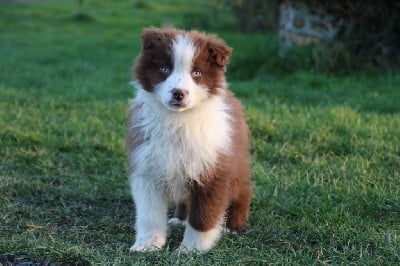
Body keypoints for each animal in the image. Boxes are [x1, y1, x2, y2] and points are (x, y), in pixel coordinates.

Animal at [126, 28, 252, 252]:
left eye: (197, 73)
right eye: (164, 69)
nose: (179, 93)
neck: (178, 120)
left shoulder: (214, 168)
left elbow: (203, 215)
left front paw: (191, 249)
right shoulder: (147, 167)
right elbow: (149, 215)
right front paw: (147, 245)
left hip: (236, 159)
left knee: (243, 189)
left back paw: (235, 227)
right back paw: (180, 219)